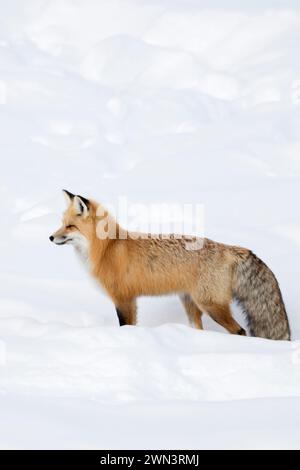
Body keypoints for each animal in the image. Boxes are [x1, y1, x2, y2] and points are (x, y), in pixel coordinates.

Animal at [49, 189, 290, 340]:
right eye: (62, 224)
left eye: (70, 226)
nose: (50, 238)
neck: (107, 247)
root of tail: (226, 247)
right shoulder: (131, 299)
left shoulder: (123, 298)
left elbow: (126, 326)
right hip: (191, 304)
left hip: (211, 305)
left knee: (239, 331)